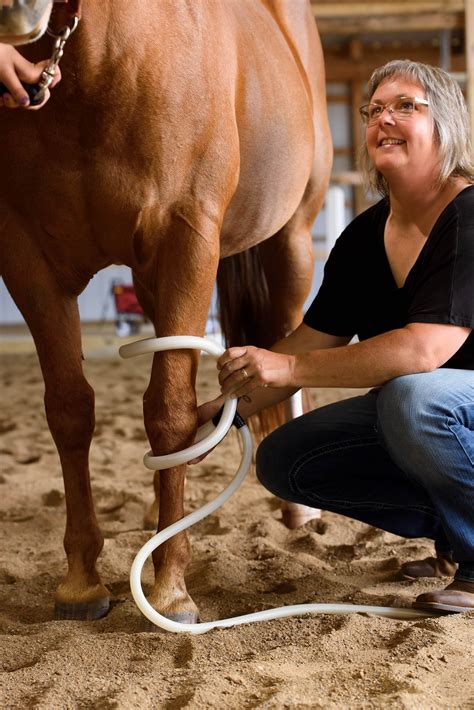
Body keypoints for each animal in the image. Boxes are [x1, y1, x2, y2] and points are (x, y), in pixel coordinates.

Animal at [0, 0, 332, 623]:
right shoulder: (28, 259)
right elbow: (69, 410)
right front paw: (81, 582)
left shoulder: (187, 239)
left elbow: (171, 413)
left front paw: (171, 586)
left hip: (292, 237)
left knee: (285, 336)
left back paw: (298, 514)